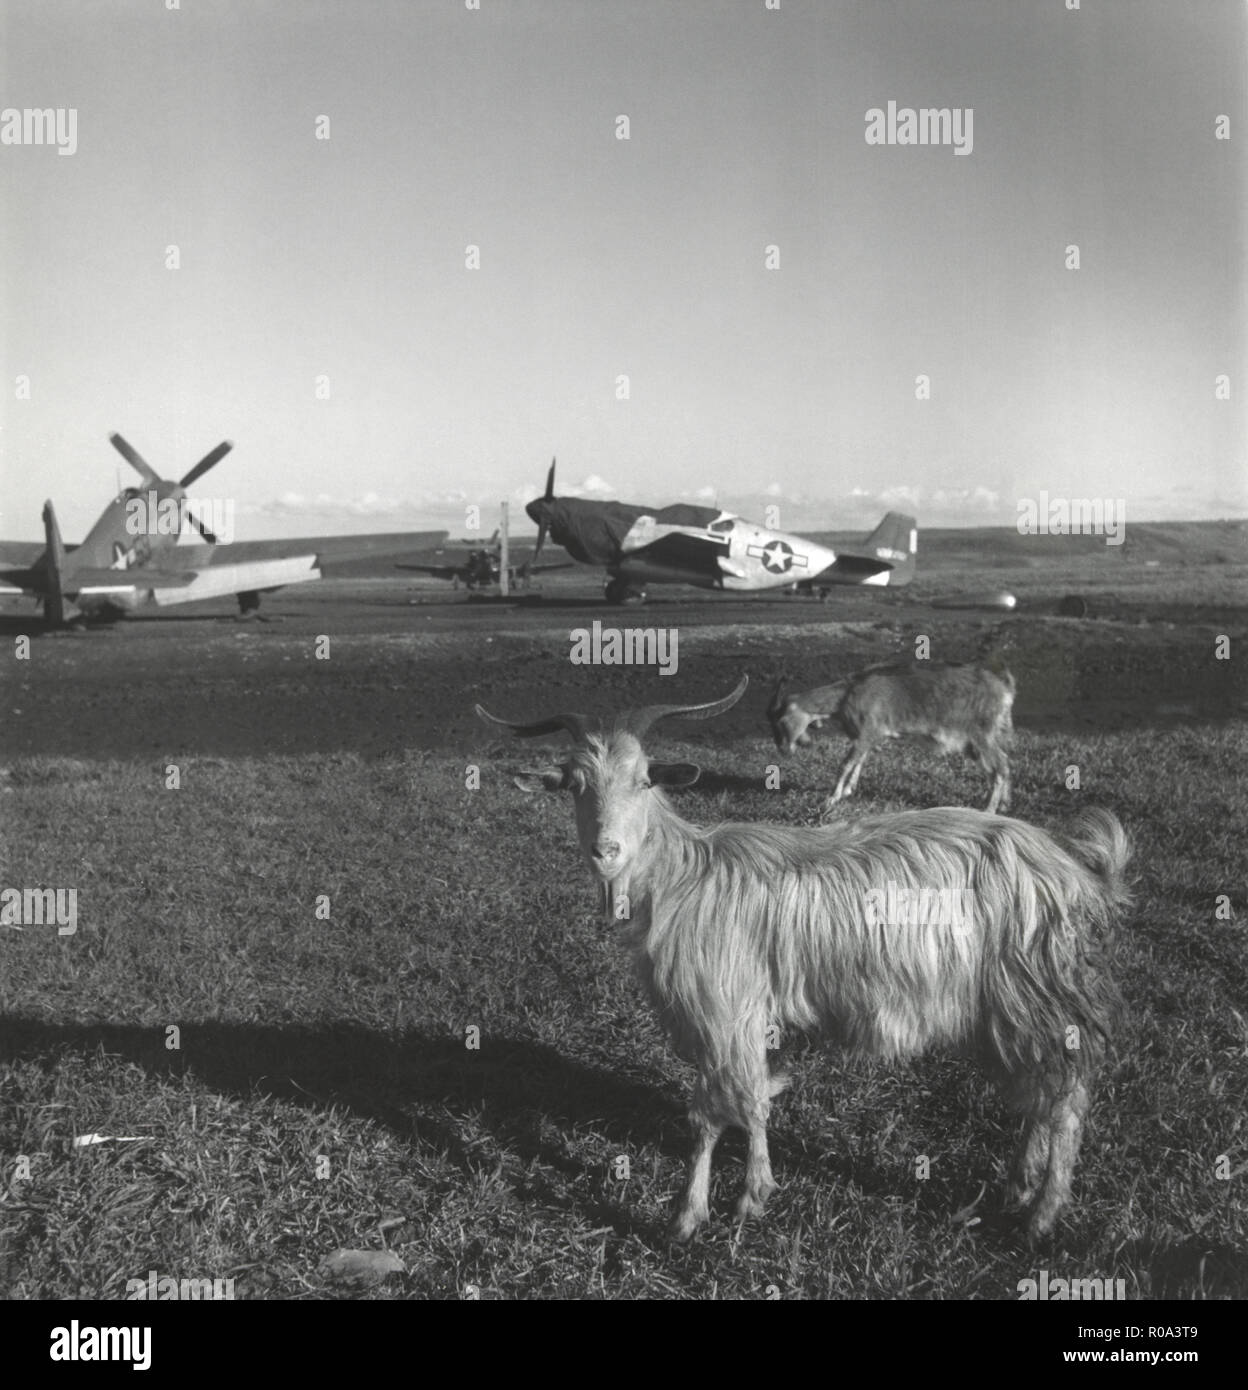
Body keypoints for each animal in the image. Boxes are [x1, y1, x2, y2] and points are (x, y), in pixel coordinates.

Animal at [472, 678, 1122, 1245]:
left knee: (1066, 1102)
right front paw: (755, 1193)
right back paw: (1016, 1188)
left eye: (642, 780)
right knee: (1038, 1096)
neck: (685, 877)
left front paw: (692, 1216)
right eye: (575, 784)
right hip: (1011, 1010)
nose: (606, 849)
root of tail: (1074, 865)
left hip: (1039, 995)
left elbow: (710, 1114)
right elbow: (756, 1099)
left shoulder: (723, 1011)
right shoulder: (754, 1017)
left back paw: (1041, 1218)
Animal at [761, 658, 1017, 811]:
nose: (784, 749)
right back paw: (1002, 804)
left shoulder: (866, 733)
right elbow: (859, 761)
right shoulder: (868, 737)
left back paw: (988, 809)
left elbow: (846, 763)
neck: (847, 694)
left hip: (982, 736)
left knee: (1000, 767)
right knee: (1000, 766)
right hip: (981, 741)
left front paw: (831, 798)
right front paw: (848, 791)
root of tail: (1004, 688)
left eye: (781, 721)